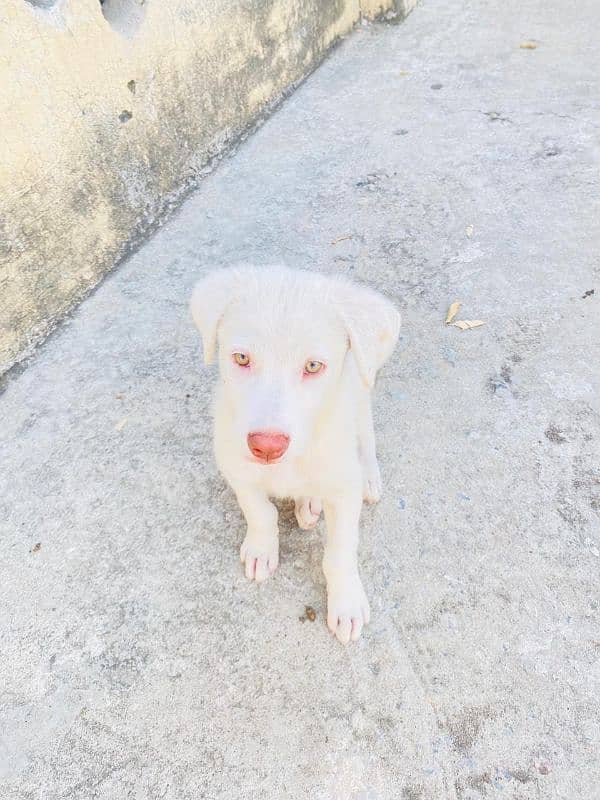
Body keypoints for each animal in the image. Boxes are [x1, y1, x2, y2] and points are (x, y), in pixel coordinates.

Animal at [190, 268, 400, 644]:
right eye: (241, 358)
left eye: (313, 366)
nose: (266, 446)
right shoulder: (235, 465)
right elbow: (260, 511)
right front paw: (262, 548)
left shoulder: (343, 491)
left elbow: (340, 552)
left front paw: (346, 601)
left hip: (360, 401)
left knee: (366, 441)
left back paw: (366, 479)